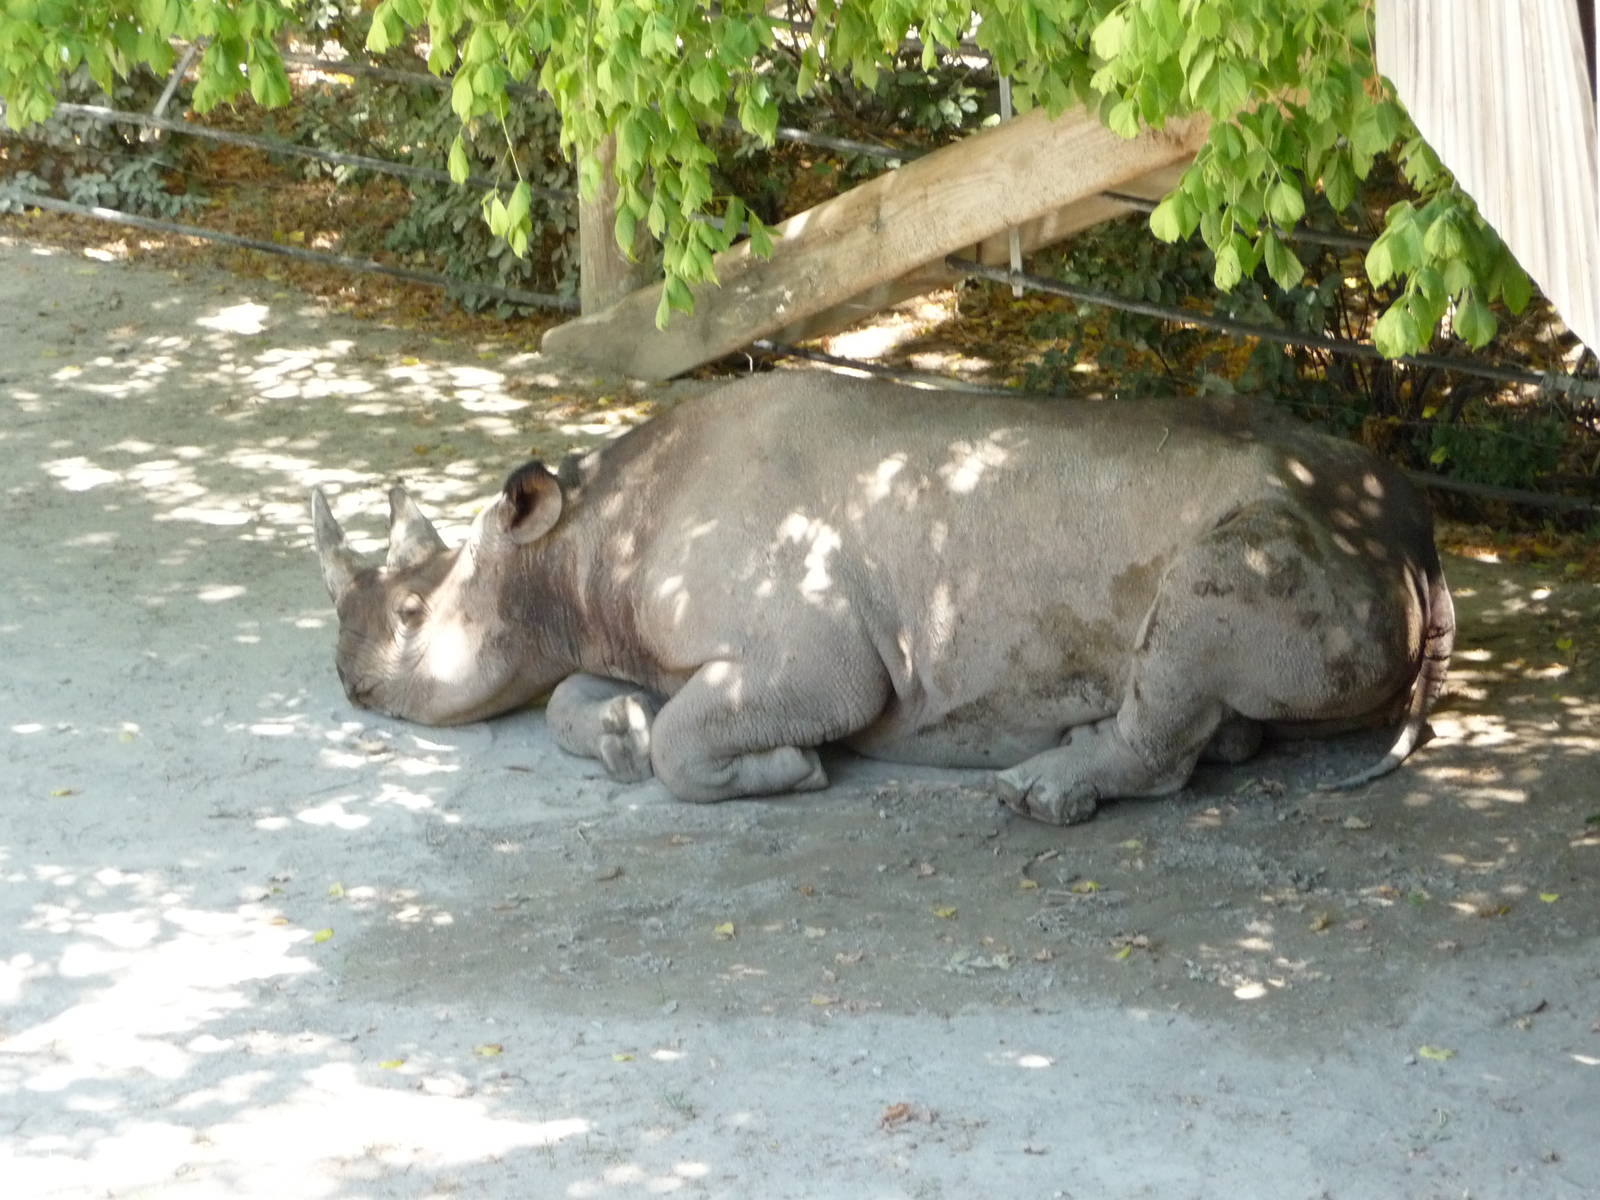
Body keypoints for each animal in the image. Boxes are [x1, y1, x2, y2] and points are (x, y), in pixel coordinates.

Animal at [310, 373, 1453, 824]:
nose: (344, 677)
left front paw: (786, 770)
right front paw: (621, 736)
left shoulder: (814, 662)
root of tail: (1418, 539)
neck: (576, 545)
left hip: (1278, 540)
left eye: (409, 620)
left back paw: (1039, 792)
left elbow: (697, 741)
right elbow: (567, 700)